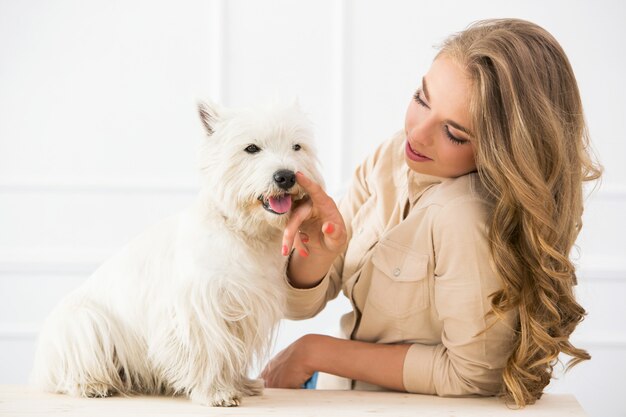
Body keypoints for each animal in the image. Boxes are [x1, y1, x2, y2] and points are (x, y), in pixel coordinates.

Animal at [29, 99, 322, 404]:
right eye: (251, 148)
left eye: (297, 146)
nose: (286, 176)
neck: (242, 231)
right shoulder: (199, 306)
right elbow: (210, 350)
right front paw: (216, 392)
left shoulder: (245, 307)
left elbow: (231, 352)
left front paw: (239, 384)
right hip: (83, 324)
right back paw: (93, 385)